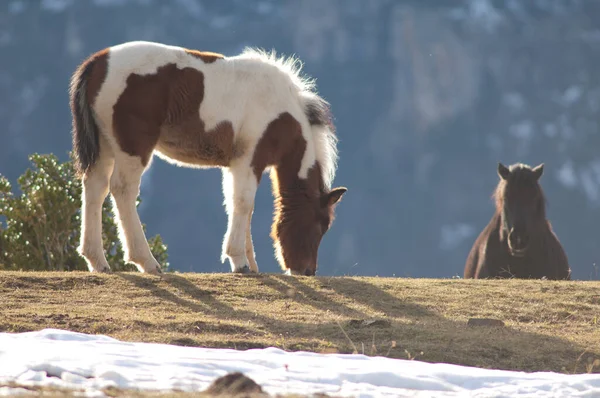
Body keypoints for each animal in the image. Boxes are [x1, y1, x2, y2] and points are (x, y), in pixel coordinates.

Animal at [69, 41, 346, 276]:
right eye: (320, 225)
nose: (307, 271)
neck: (282, 112)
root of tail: (98, 62)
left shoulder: (236, 165)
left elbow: (238, 205)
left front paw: (249, 263)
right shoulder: (249, 161)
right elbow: (243, 204)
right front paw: (240, 262)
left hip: (106, 146)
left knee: (95, 187)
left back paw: (97, 261)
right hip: (133, 147)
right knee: (122, 189)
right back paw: (146, 261)